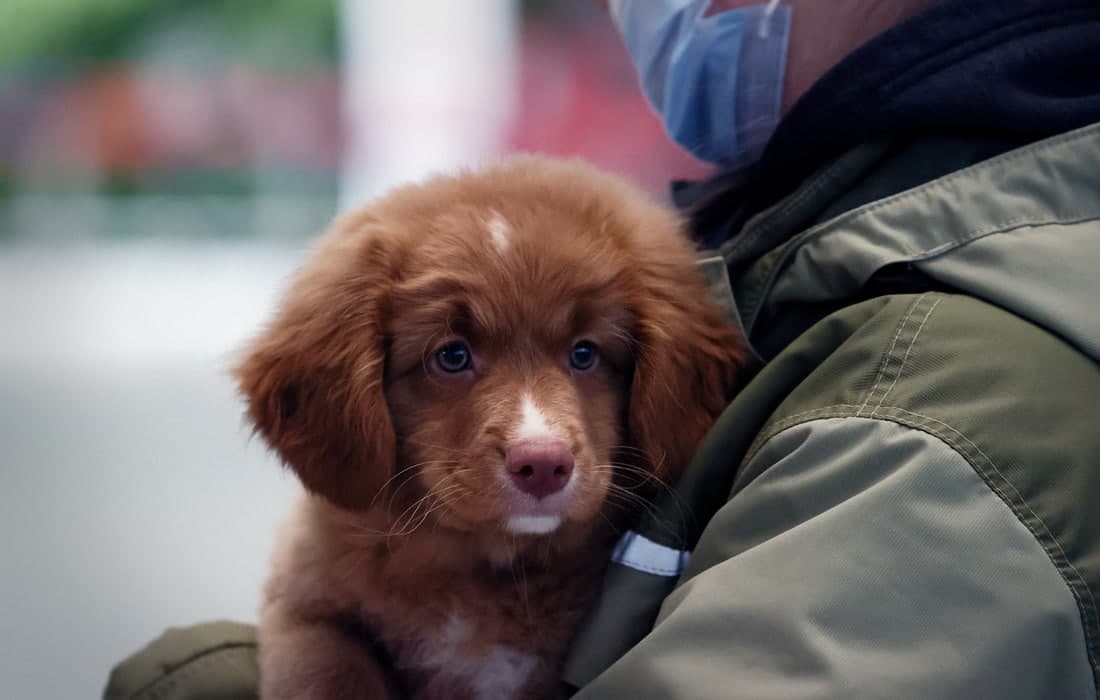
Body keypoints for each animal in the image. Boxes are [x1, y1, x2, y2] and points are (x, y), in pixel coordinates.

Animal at [238, 156, 748, 695]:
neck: (485, 567)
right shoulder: (308, 608)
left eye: (584, 353)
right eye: (452, 356)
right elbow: (330, 674)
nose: (543, 465)